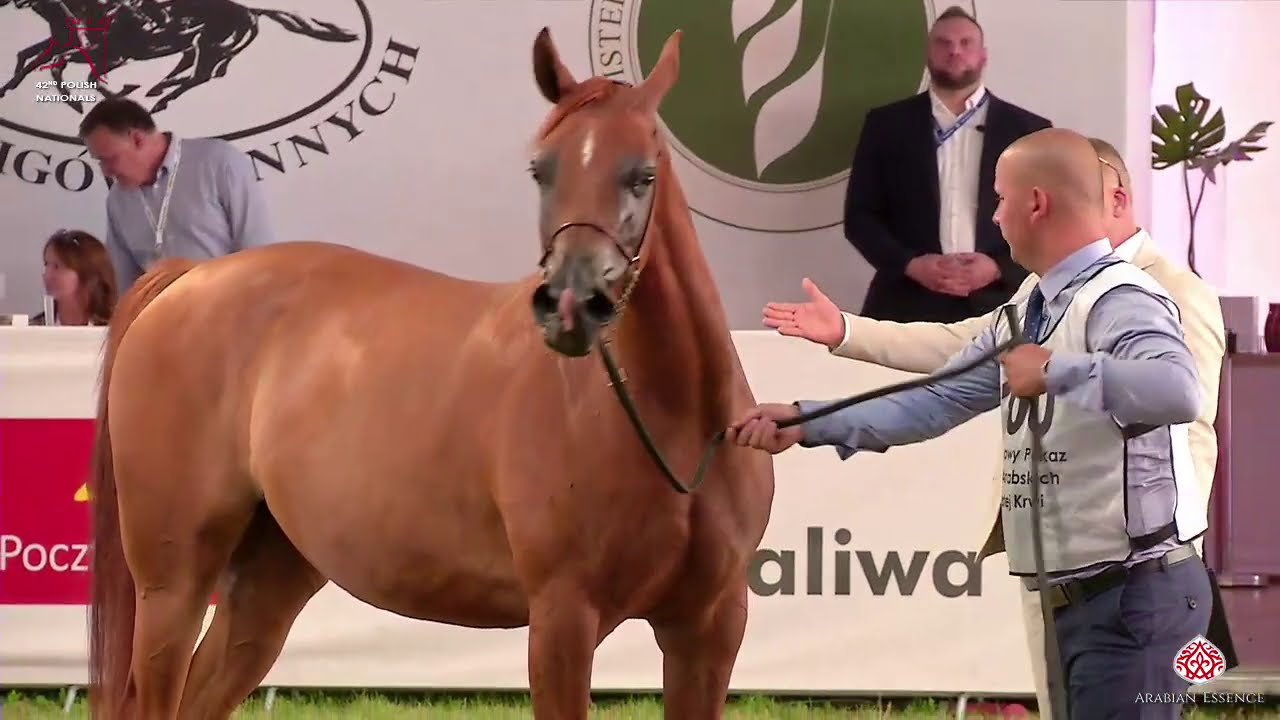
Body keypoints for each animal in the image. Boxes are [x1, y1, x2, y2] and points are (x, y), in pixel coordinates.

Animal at [0, 0, 356, 115]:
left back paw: (159, 99)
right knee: (204, 71)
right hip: (205, 46)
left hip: (209, 44)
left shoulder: (111, 56)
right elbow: (30, 57)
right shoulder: (69, 46)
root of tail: (251, 10)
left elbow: (75, 72)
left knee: (201, 75)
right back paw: (159, 89)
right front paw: (8, 87)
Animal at [85, 26, 776, 720]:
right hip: (171, 585)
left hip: (266, 583)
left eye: (643, 174)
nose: (570, 304)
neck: (675, 426)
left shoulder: (708, 629)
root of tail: (189, 277)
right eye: (541, 170)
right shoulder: (563, 618)